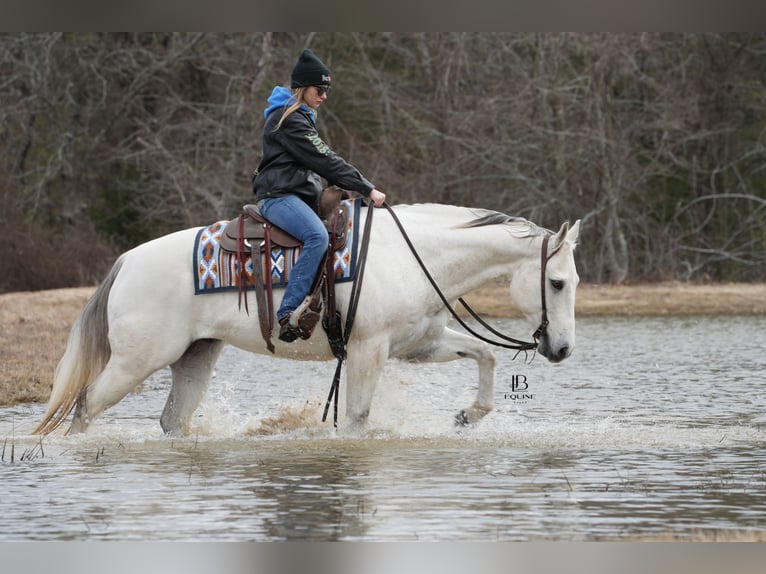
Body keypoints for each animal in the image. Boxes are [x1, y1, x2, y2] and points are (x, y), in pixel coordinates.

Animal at [31, 204, 584, 436]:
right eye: (557, 283)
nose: (561, 349)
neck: (413, 255)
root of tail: (125, 262)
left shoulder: (419, 344)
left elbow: (485, 354)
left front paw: (469, 415)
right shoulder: (367, 351)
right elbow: (357, 419)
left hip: (194, 357)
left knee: (172, 420)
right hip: (136, 362)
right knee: (85, 406)